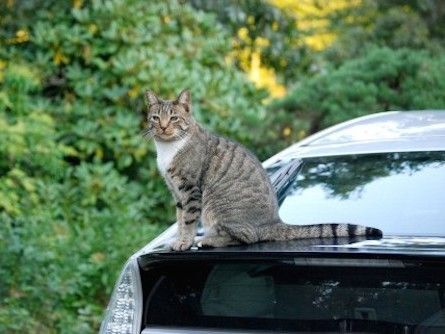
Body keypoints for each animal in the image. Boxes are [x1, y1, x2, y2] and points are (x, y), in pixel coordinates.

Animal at [143, 88, 382, 250]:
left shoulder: (190, 189)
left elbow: (189, 220)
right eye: (155, 117)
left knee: (247, 237)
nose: (163, 126)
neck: (167, 148)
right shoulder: (177, 192)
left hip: (216, 206)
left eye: (174, 118)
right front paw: (179, 239)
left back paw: (209, 240)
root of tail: (274, 221)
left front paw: (185, 242)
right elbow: (180, 218)